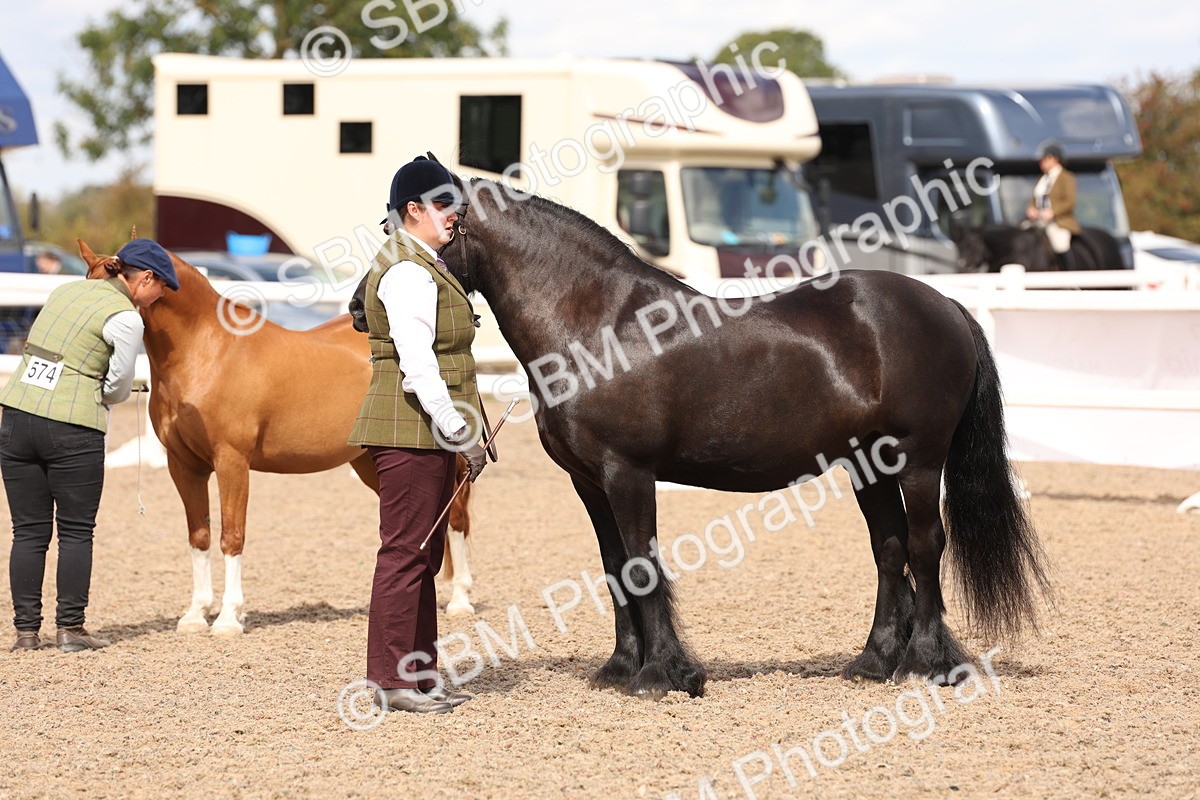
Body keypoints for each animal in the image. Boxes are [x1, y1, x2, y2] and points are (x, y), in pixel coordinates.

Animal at [77, 240, 477, 635]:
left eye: (111, 290)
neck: (206, 353)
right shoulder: (185, 466)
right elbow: (199, 536)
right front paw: (196, 614)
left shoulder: (232, 462)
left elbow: (232, 536)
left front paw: (228, 618)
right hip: (369, 463)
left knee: (456, 517)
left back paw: (460, 600)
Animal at [431, 177, 1049, 698]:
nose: (382, 299)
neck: (597, 326)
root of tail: (946, 304)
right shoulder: (589, 482)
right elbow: (614, 569)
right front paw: (621, 669)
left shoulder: (628, 473)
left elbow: (641, 566)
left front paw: (661, 676)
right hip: (868, 466)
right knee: (889, 549)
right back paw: (874, 663)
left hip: (917, 460)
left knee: (923, 546)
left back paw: (923, 664)